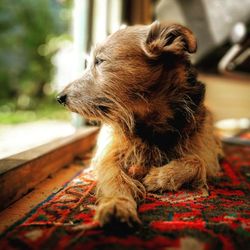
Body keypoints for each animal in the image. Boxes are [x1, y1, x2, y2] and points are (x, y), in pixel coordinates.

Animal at [57, 21, 223, 227]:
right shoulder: (108, 154)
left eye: (100, 61)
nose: (59, 98)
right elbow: (114, 176)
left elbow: (197, 161)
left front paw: (160, 177)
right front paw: (117, 203)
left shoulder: (209, 159)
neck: (149, 119)